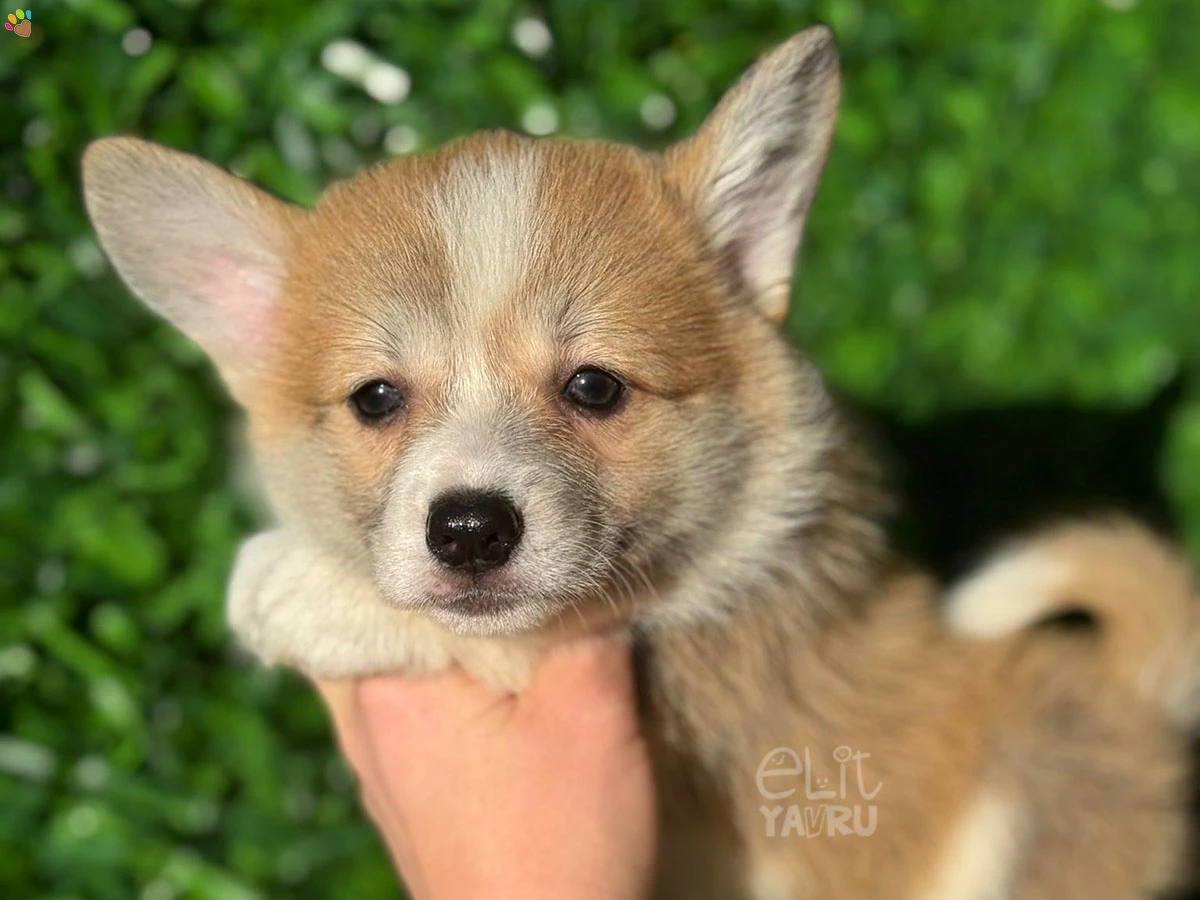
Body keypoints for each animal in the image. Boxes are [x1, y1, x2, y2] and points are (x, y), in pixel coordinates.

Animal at [84, 26, 1200, 900]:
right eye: (376, 399)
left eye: (594, 387)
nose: (469, 531)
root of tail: (1138, 686)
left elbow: (490, 639)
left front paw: (295, 585)